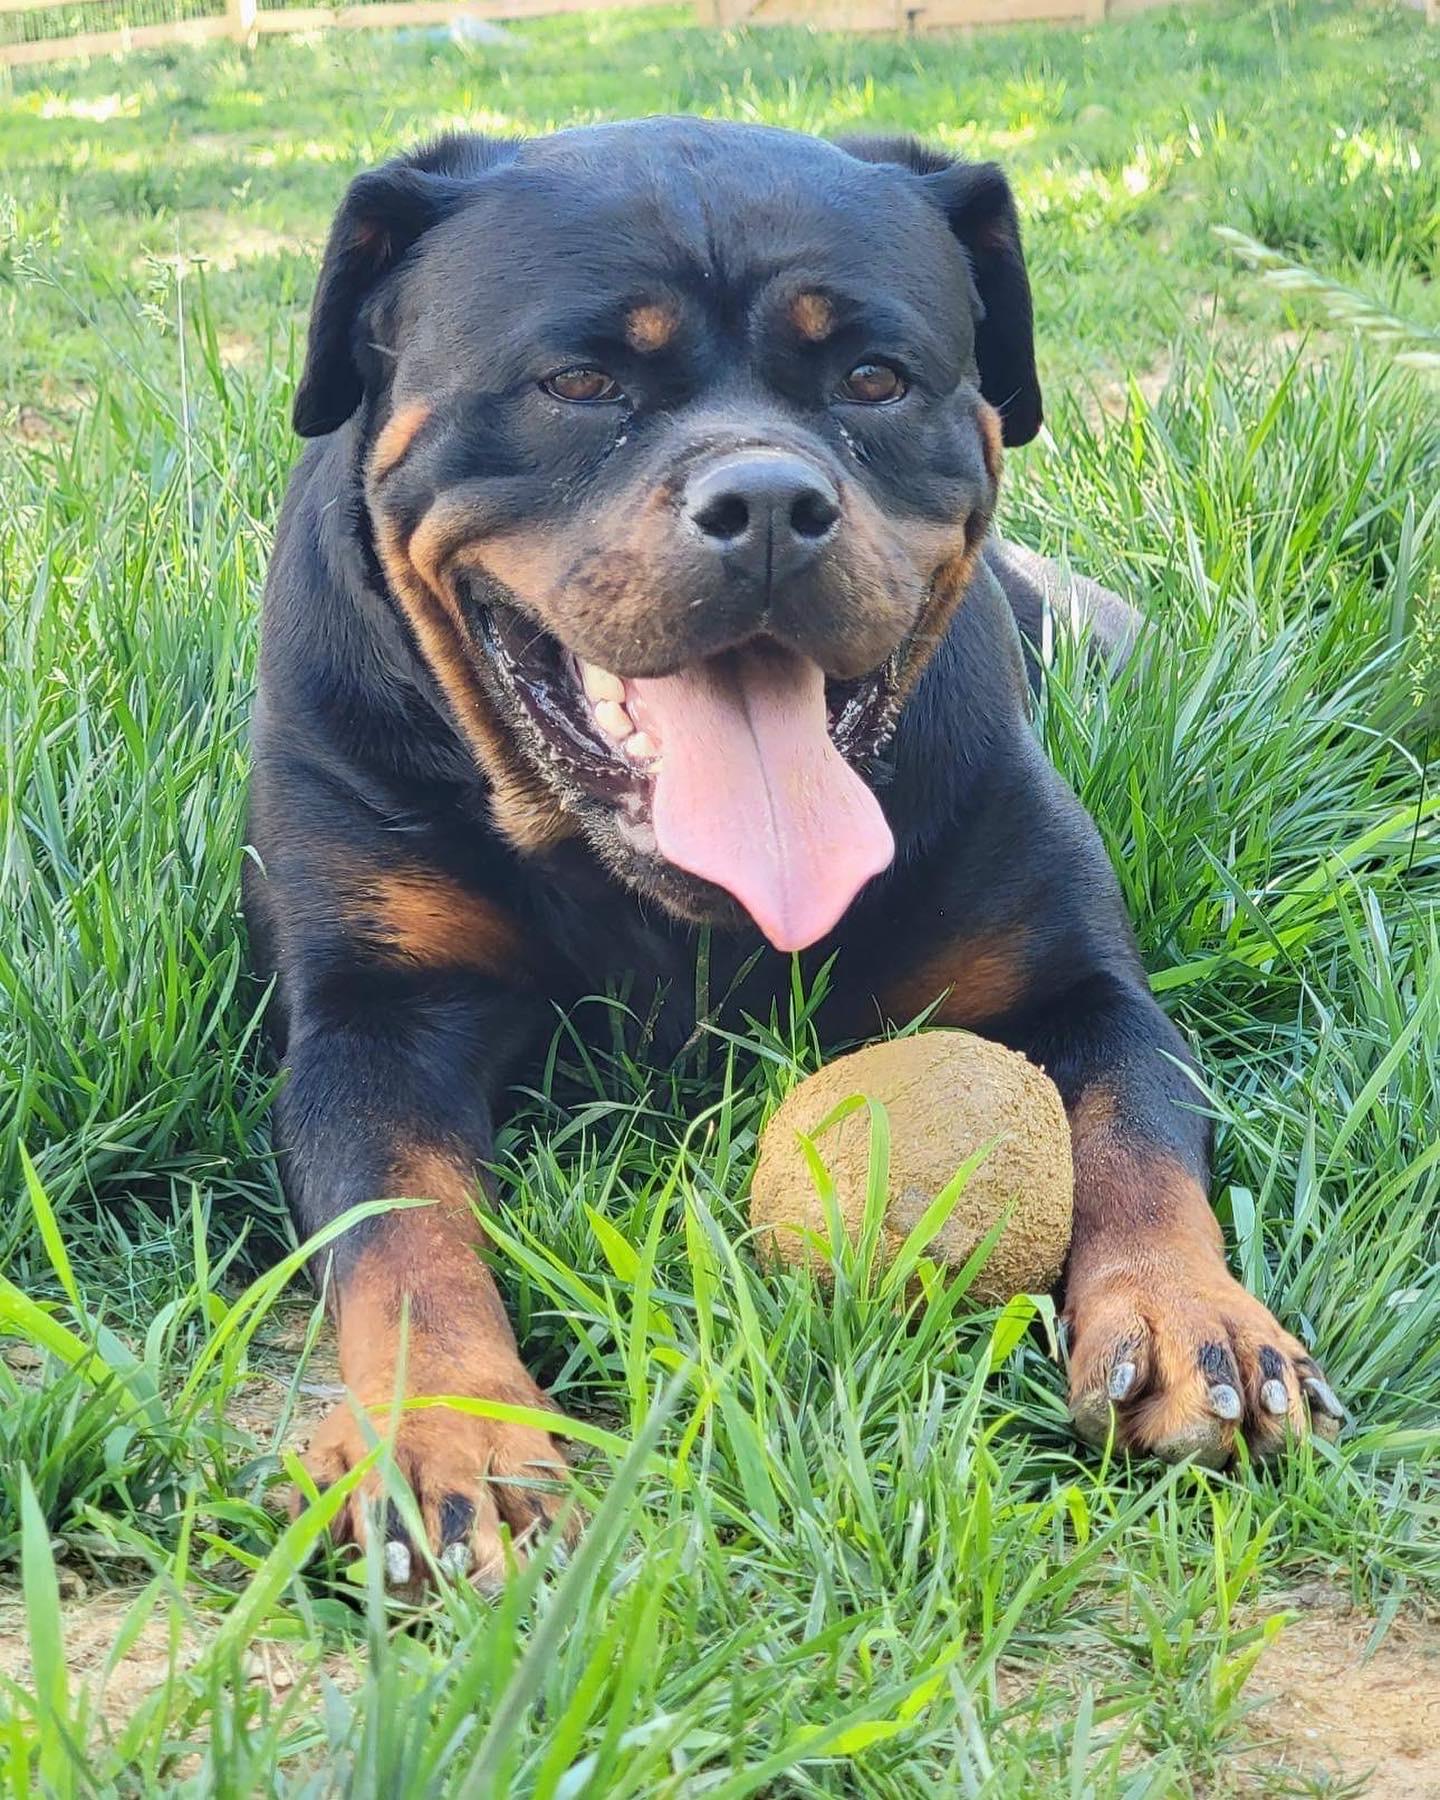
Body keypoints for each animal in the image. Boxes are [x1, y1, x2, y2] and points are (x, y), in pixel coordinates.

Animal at [245, 118, 1343, 1586]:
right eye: (577, 381)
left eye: (874, 379)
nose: (766, 497)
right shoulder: (373, 1020)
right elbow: (400, 1231)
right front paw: (444, 1432)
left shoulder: (1081, 986)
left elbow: (1135, 1135)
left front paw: (1189, 1315)